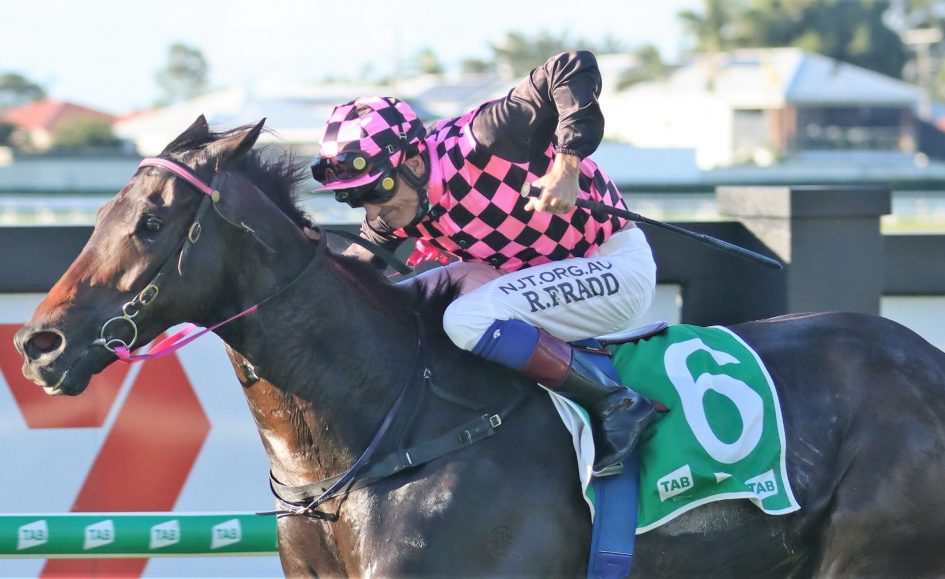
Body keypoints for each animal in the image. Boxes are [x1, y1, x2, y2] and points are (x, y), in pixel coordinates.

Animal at [14, 116, 945, 578]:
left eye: (151, 219)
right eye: (102, 212)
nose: (38, 340)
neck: (388, 426)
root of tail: (928, 362)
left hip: (875, 556)